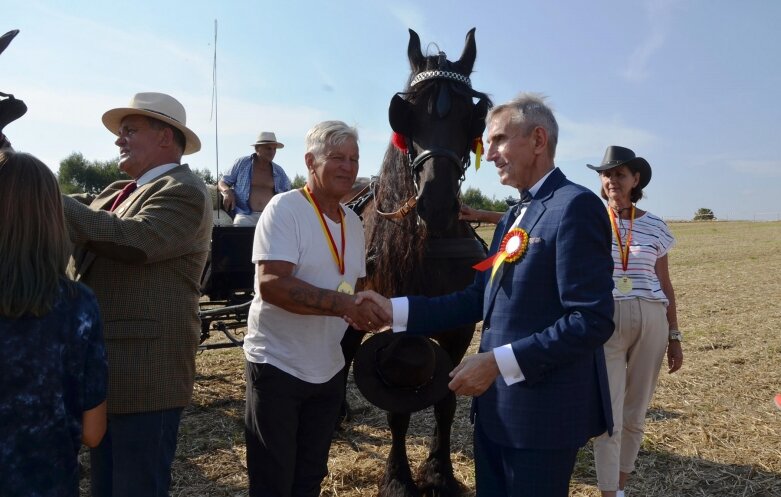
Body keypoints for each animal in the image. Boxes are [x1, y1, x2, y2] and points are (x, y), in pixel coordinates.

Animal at [340, 28, 488, 496]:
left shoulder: (459, 329)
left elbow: (445, 400)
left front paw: (439, 471)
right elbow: (398, 409)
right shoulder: (394, 327)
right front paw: (398, 477)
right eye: (407, 114)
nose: (436, 204)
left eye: (471, 116)